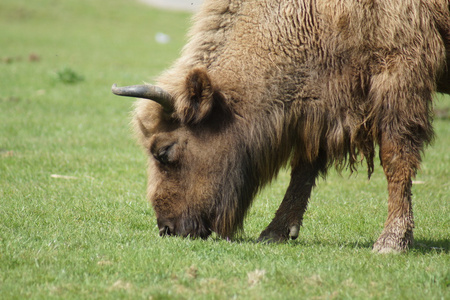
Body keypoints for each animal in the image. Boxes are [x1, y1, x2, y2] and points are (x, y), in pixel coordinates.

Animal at [113, 0, 450, 253]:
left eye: (164, 151)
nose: (166, 229)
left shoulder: (400, 74)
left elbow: (396, 158)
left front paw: (392, 241)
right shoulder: (323, 107)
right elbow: (305, 166)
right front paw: (274, 232)